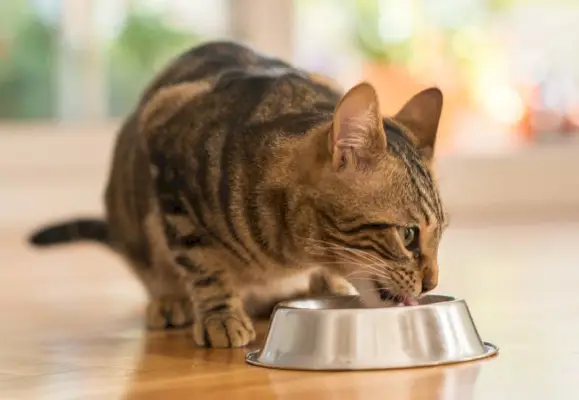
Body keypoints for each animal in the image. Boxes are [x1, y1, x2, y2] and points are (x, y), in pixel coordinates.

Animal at [28, 40, 448, 346]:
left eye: (440, 235)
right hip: (133, 215)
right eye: (408, 235)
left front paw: (329, 282)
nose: (432, 283)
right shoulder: (166, 152)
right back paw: (171, 300)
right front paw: (221, 316)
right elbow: (202, 264)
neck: (288, 252)